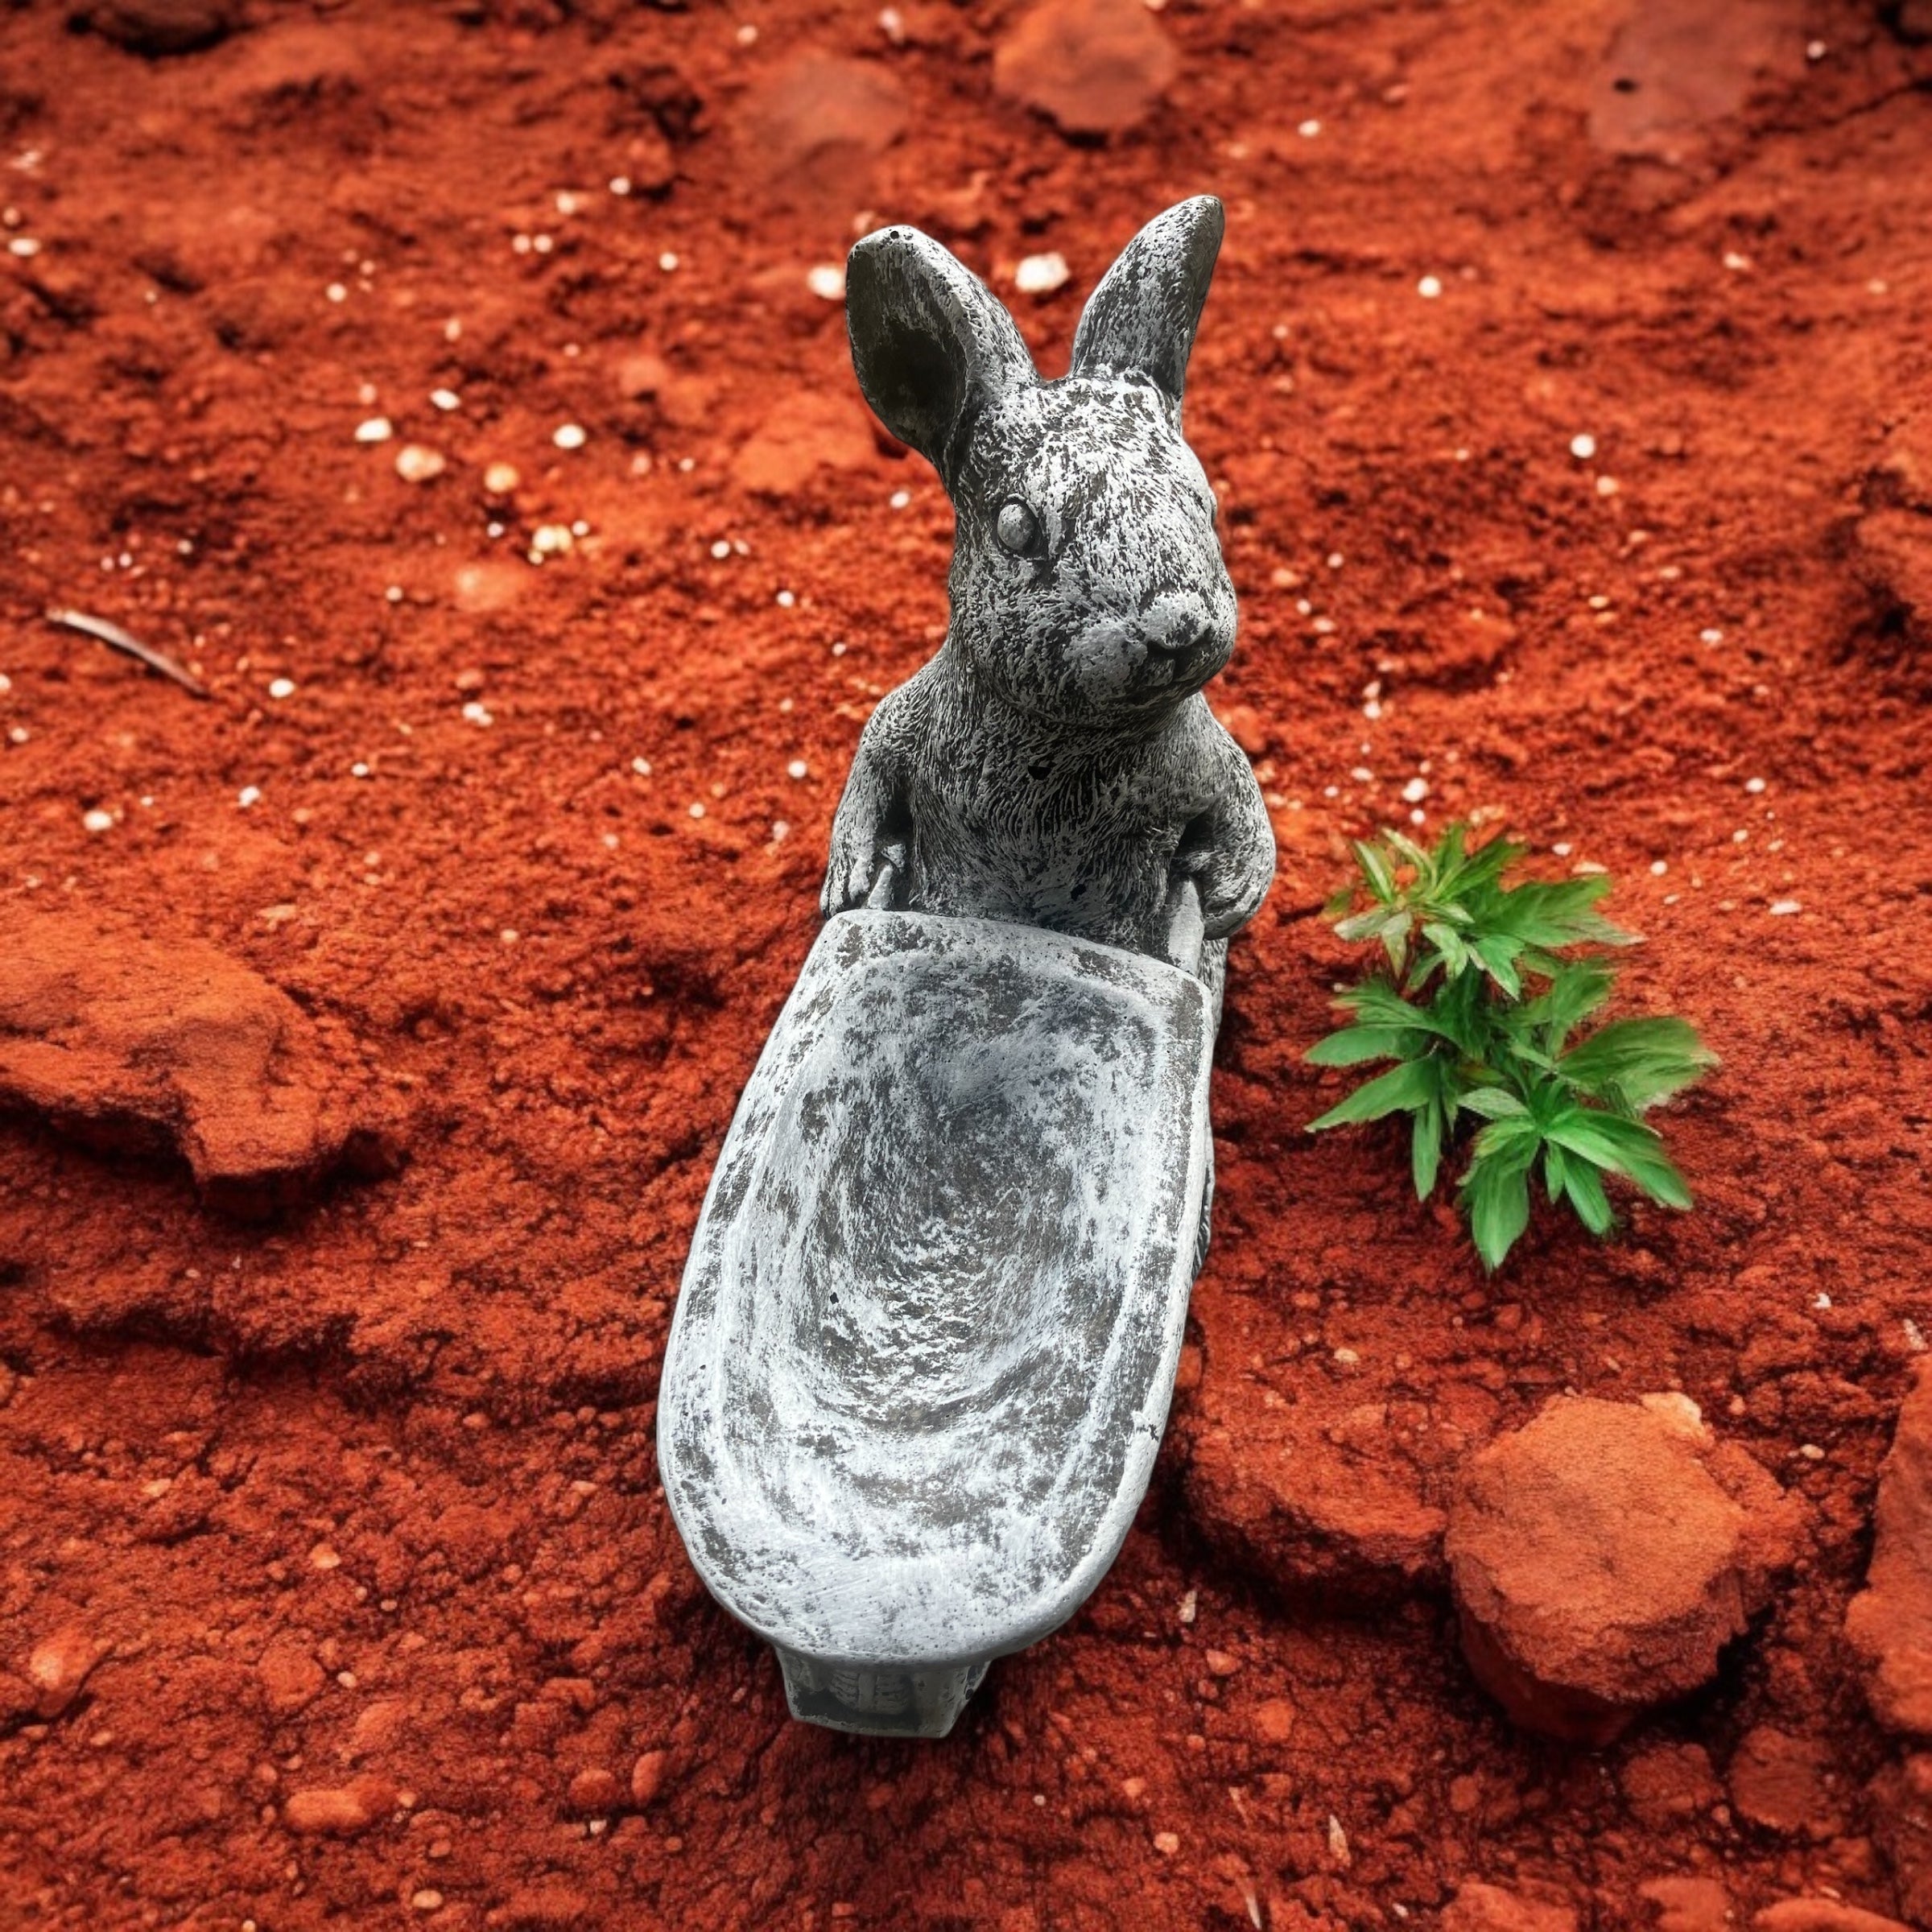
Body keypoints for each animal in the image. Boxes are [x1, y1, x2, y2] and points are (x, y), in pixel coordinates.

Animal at [822, 195, 1275, 1015]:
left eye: (1206, 503)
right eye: (1016, 527)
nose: (1177, 627)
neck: (1066, 738)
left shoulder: (1204, 761)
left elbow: (1242, 795)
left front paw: (1235, 891)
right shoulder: (903, 723)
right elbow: (870, 763)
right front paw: (846, 879)